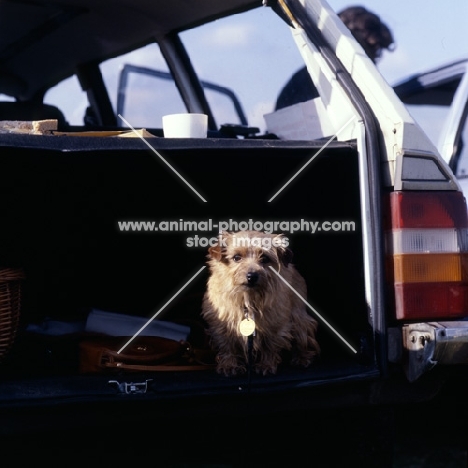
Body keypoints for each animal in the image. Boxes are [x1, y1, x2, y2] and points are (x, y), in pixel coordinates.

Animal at [201, 230, 318, 376]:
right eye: (236, 257)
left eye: (265, 258)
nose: (252, 276)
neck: (248, 299)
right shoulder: (221, 326)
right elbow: (227, 346)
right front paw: (229, 365)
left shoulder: (275, 325)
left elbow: (270, 345)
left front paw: (266, 365)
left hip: (299, 317)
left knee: (303, 336)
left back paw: (302, 358)